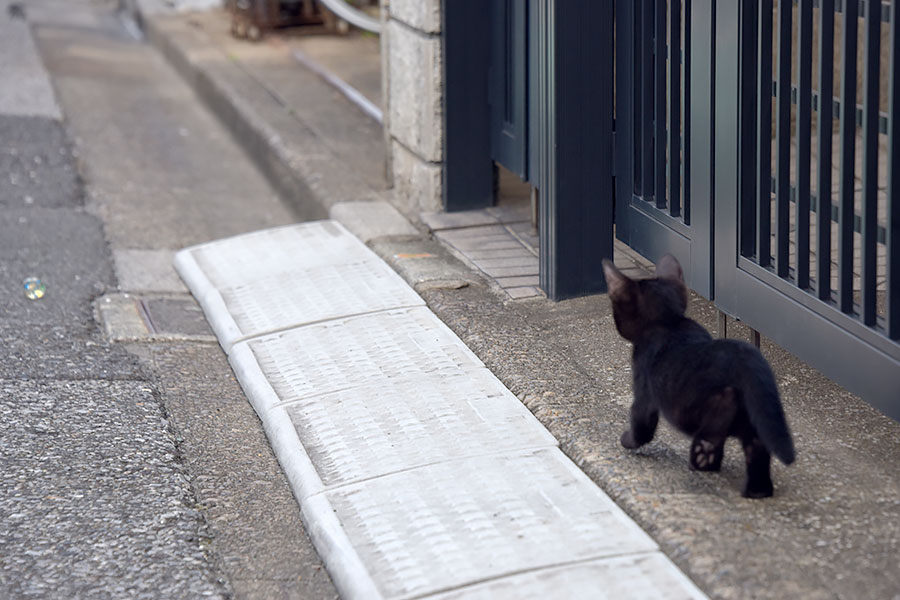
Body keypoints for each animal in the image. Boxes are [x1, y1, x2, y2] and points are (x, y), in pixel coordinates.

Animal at [604, 253, 796, 496]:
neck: (669, 323)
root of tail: (745, 359)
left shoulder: (643, 383)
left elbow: (641, 422)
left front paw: (627, 440)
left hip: (706, 405)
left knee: (717, 425)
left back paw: (703, 456)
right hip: (757, 414)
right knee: (757, 446)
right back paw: (756, 491)